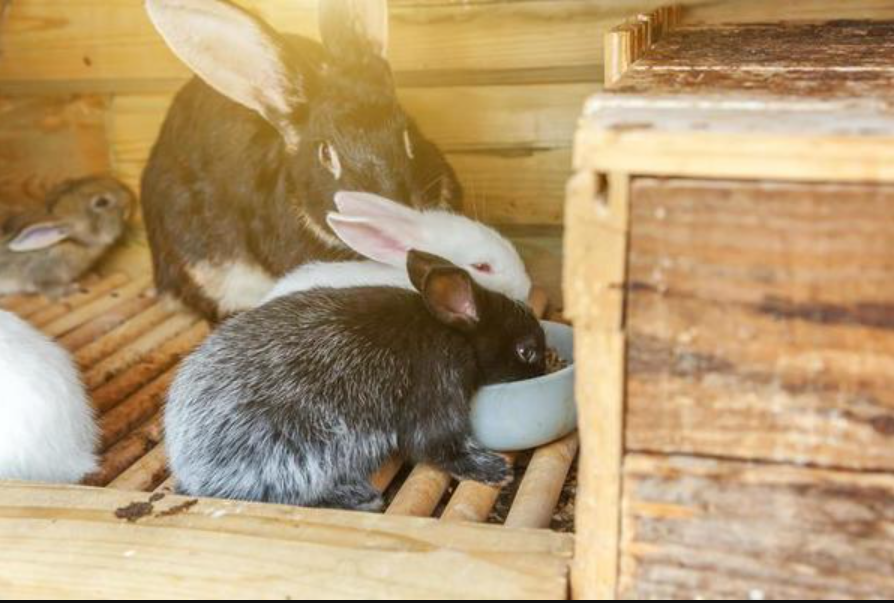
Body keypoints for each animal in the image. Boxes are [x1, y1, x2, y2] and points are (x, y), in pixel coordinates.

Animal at [0, 176, 135, 298]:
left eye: (69, 181)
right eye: (101, 202)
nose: (129, 194)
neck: (73, 242)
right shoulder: (45, 273)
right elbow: (51, 290)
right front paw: (73, 288)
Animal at [165, 250, 546, 510]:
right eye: (526, 351)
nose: (543, 369)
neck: (454, 333)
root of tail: (186, 459)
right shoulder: (438, 388)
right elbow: (439, 444)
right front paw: (493, 469)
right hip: (298, 452)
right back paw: (360, 497)